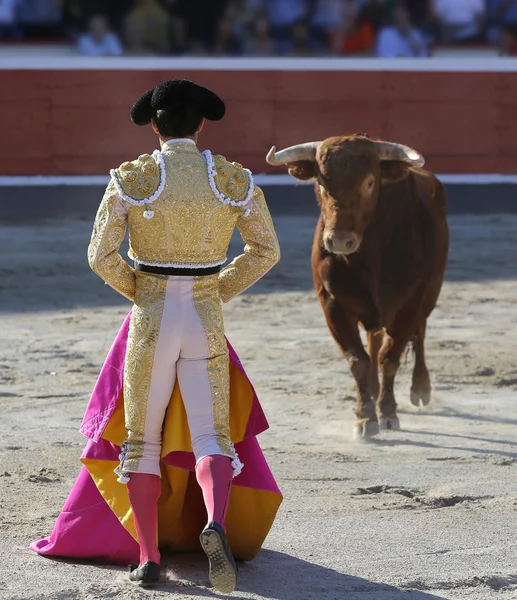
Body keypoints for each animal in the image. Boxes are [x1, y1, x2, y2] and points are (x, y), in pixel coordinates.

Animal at [266, 135, 448, 436]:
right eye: (320, 182)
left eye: (370, 182)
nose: (339, 241)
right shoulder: (332, 303)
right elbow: (358, 360)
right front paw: (365, 416)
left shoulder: (411, 302)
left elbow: (390, 358)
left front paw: (387, 413)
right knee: (375, 339)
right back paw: (373, 389)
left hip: (431, 293)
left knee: (419, 333)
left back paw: (420, 387)